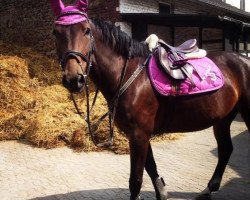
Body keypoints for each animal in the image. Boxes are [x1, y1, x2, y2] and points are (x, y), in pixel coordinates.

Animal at [50, 0, 250, 199]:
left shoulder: (139, 134)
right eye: (55, 33)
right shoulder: (139, 134)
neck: (130, 74)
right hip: (222, 119)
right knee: (225, 149)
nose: (74, 79)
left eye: (86, 30)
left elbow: (136, 181)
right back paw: (208, 189)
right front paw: (162, 193)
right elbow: (151, 167)